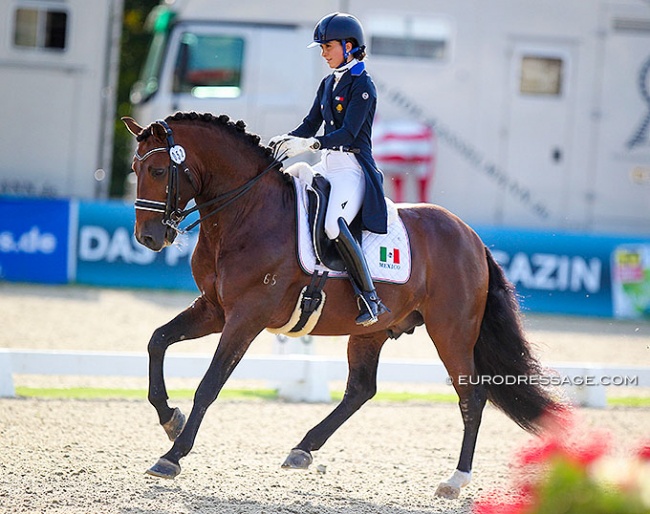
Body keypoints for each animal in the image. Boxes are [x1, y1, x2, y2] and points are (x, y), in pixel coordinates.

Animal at [124, 111, 560, 496]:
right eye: (134, 168)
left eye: (159, 171)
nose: (148, 238)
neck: (247, 213)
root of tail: (471, 237)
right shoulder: (215, 310)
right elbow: (157, 340)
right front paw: (170, 418)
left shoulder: (246, 317)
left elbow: (210, 383)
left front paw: (172, 456)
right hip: (373, 330)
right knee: (361, 389)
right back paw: (302, 449)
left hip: (450, 332)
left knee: (472, 396)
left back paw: (455, 480)